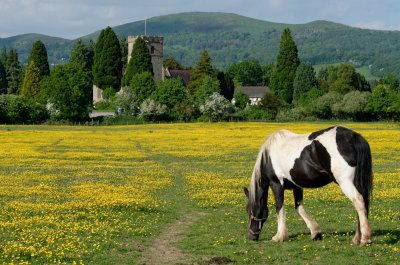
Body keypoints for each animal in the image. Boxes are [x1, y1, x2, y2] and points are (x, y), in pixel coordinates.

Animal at [245, 126, 374, 245]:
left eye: (249, 211)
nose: (251, 237)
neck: (269, 156)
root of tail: (353, 136)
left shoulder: (276, 184)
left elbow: (279, 208)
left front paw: (279, 236)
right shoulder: (296, 186)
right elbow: (299, 208)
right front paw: (315, 232)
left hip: (345, 182)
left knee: (358, 201)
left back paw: (364, 238)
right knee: (363, 204)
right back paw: (357, 238)